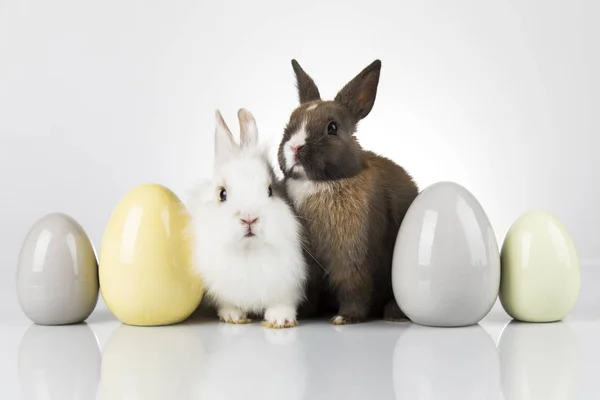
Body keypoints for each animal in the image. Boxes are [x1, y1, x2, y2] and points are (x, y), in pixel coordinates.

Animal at [188, 107, 308, 328]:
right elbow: (228, 304)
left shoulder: (288, 287)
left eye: (270, 190)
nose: (249, 218)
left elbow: (282, 304)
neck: (248, 254)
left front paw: (280, 320)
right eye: (222, 194)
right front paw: (232, 316)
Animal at [278, 57, 420, 324]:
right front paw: (302, 314)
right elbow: (308, 290)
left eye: (332, 128)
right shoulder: (308, 265)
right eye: (289, 122)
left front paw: (345, 318)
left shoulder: (354, 260)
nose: (294, 147)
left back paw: (393, 314)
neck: (319, 183)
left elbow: (355, 288)